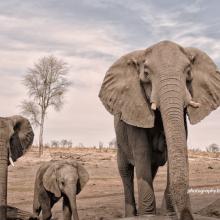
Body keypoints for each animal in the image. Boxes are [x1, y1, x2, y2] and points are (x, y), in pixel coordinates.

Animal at [99, 40, 220, 219]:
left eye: (188, 72)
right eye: (146, 74)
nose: (185, 215)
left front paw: (166, 213)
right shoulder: (136, 111)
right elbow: (141, 152)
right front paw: (147, 215)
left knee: (152, 168)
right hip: (120, 143)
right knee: (125, 171)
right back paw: (131, 214)